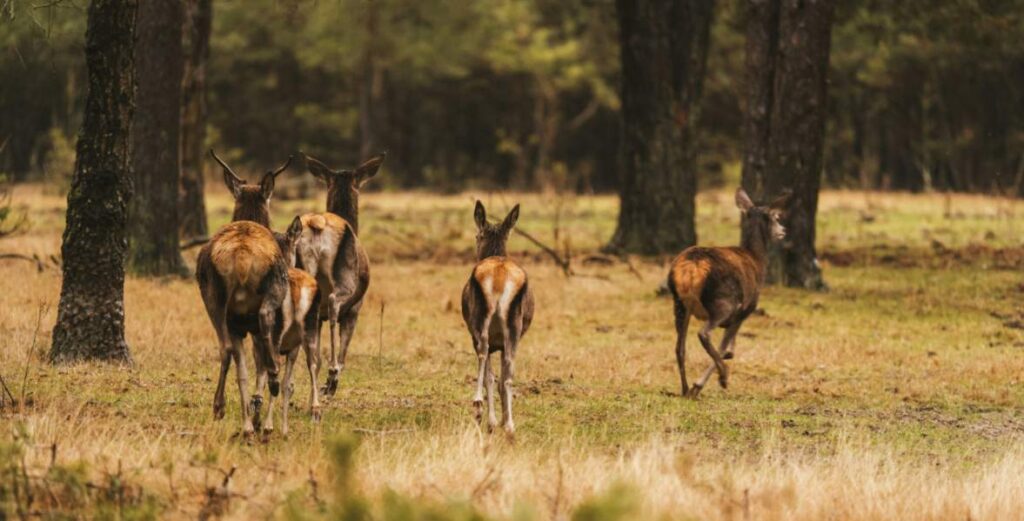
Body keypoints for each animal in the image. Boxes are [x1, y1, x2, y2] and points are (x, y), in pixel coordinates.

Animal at [193, 149, 294, 433]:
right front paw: (257, 414)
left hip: (213, 297)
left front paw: (250, 415)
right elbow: (257, 362)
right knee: (264, 329)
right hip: (272, 289)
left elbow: (245, 369)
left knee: (226, 347)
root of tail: (240, 256)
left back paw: (223, 407)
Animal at [299, 150, 387, 393]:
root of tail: (317, 227)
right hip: (345, 279)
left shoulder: (317, 315)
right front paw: (332, 378)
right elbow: (344, 349)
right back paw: (332, 375)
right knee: (333, 301)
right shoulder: (356, 308)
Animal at [458, 200, 532, 431]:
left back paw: (480, 407)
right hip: (513, 325)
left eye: (476, 235)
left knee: (483, 350)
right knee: (507, 371)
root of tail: (499, 279)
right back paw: (508, 424)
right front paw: (503, 418)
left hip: (479, 320)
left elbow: (491, 375)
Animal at [667, 189, 786, 395]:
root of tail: (691, 269)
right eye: (776, 217)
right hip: (722, 302)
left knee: (679, 346)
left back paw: (684, 388)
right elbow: (724, 348)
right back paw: (719, 377)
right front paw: (704, 382)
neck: (757, 260)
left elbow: (727, 348)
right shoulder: (746, 309)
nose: (783, 230)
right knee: (703, 333)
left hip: (679, 303)